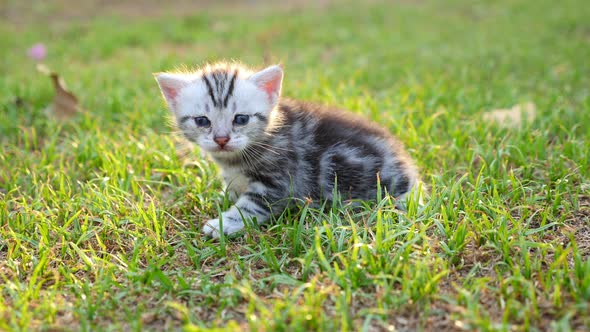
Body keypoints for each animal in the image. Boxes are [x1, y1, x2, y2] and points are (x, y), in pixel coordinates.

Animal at [156, 62, 426, 237]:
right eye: (202, 121)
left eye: (241, 119)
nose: (221, 139)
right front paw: (223, 196)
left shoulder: (279, 180)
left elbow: (251, 205)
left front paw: (224, 224)